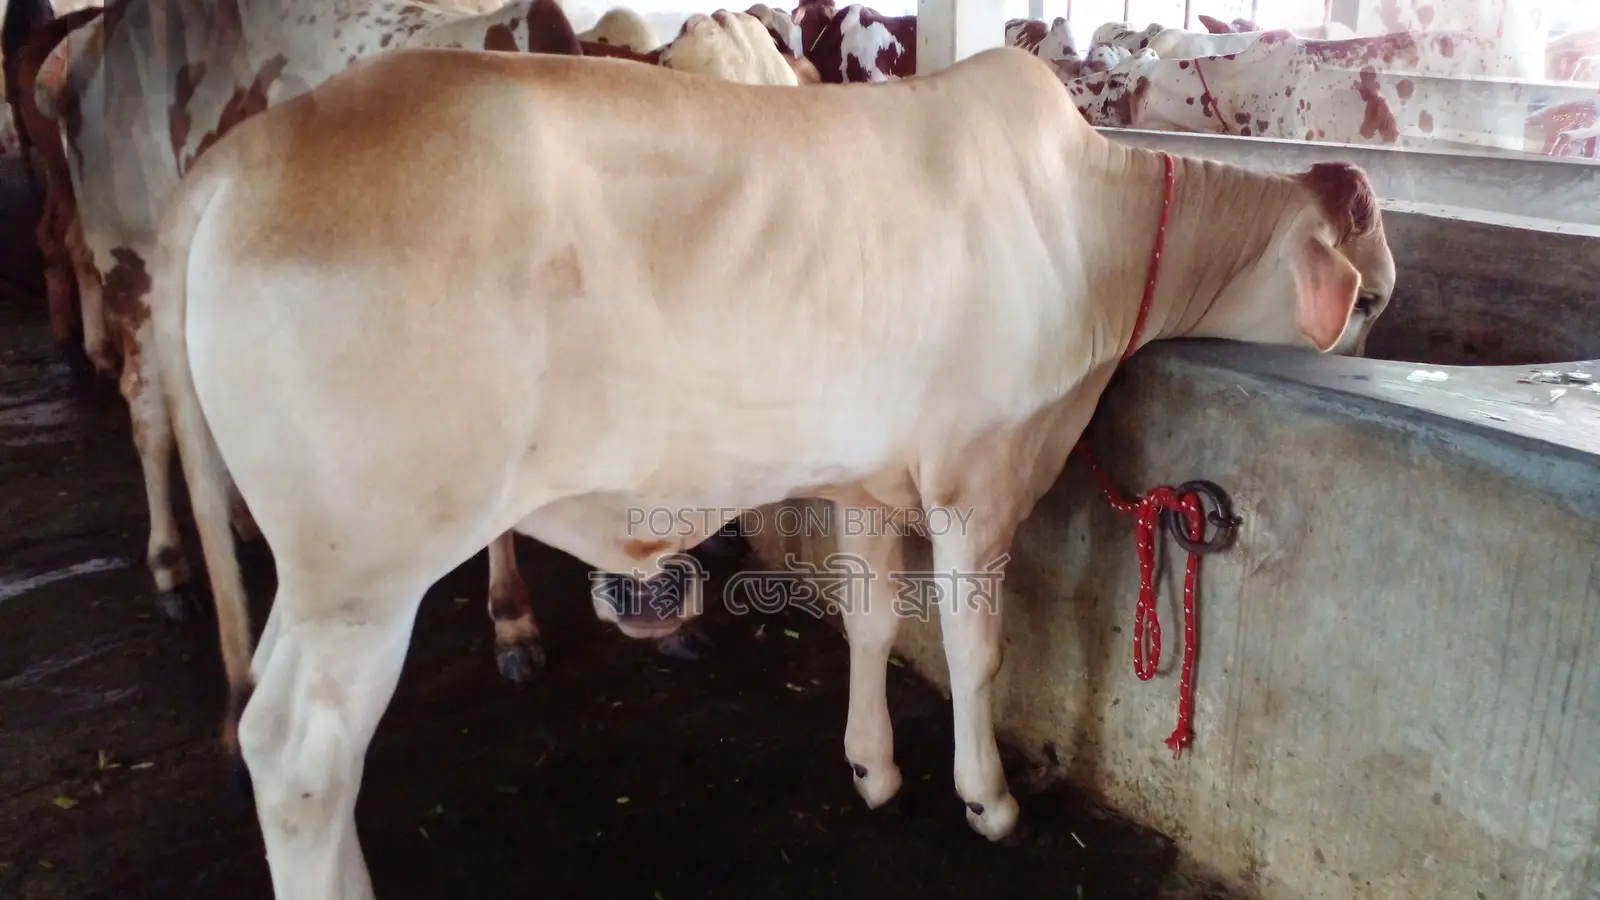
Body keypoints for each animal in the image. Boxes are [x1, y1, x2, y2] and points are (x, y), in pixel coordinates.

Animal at [148, 42, 1394, 896]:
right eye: (1373, 296)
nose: (1377, 327)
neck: (1098, 226)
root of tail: (240, 158)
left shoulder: (870, 481)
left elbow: (873, 623)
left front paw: (873, 772)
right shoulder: (980, 479)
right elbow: (976, 650)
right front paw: (987, 802)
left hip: (320, 575)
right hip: (369, 568)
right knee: (299, 758)